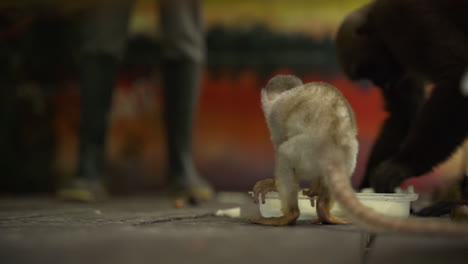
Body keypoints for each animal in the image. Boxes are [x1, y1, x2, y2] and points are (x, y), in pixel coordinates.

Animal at [252, 75, 468, 236]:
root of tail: (332, 147)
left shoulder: (274, 116)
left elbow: (279, 140)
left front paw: (272, 184)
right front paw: (315, 187)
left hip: (308, 149)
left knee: (284, 154)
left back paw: (290, 215)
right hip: (348, 154)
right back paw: (324, 211)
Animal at [334, 0, 468, 194]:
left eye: (371, 72)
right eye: (371, 78)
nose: (385, 85)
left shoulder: (402, 18)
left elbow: (457, 75)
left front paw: (402, 165)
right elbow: (403, 113)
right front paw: (365, 184)